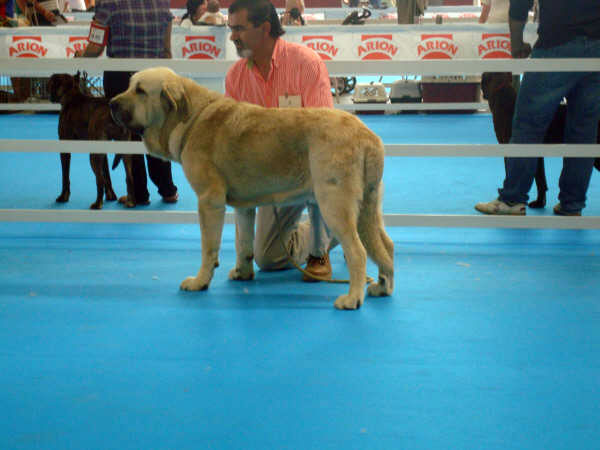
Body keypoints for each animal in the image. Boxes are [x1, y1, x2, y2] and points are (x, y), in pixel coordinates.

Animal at [48, 72, 132, 209]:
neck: (72, 97)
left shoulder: (65, 147)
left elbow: (65, 175)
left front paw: (63, 196)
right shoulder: (102, 152)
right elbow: (107, 174)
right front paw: (111, 196)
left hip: (93, 155)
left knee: (99, 180)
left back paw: (97, 204)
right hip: (125, 151)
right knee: (129, 177)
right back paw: (130, 201)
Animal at [110, 67, 394, 310]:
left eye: (140, 91)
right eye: (129, 86)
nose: (111, 103)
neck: (190, 118)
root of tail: (368, 137)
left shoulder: (209, 201)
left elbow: (208, 247)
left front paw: (200, 281)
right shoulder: (244, 207)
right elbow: (243, 244)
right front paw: (242, 273)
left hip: (332, 202)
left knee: (357, 252)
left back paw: (352, 298)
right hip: (368, 208)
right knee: (385, 246)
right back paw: (382, 286)